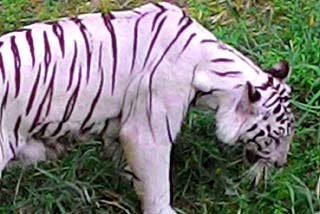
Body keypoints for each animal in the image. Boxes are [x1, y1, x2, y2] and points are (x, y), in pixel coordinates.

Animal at [0, 2, 294, 214]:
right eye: (275, 138)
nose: (281, 165)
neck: (209, 68)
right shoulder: (148, 130)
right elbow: (157, 182)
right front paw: (163, 210)